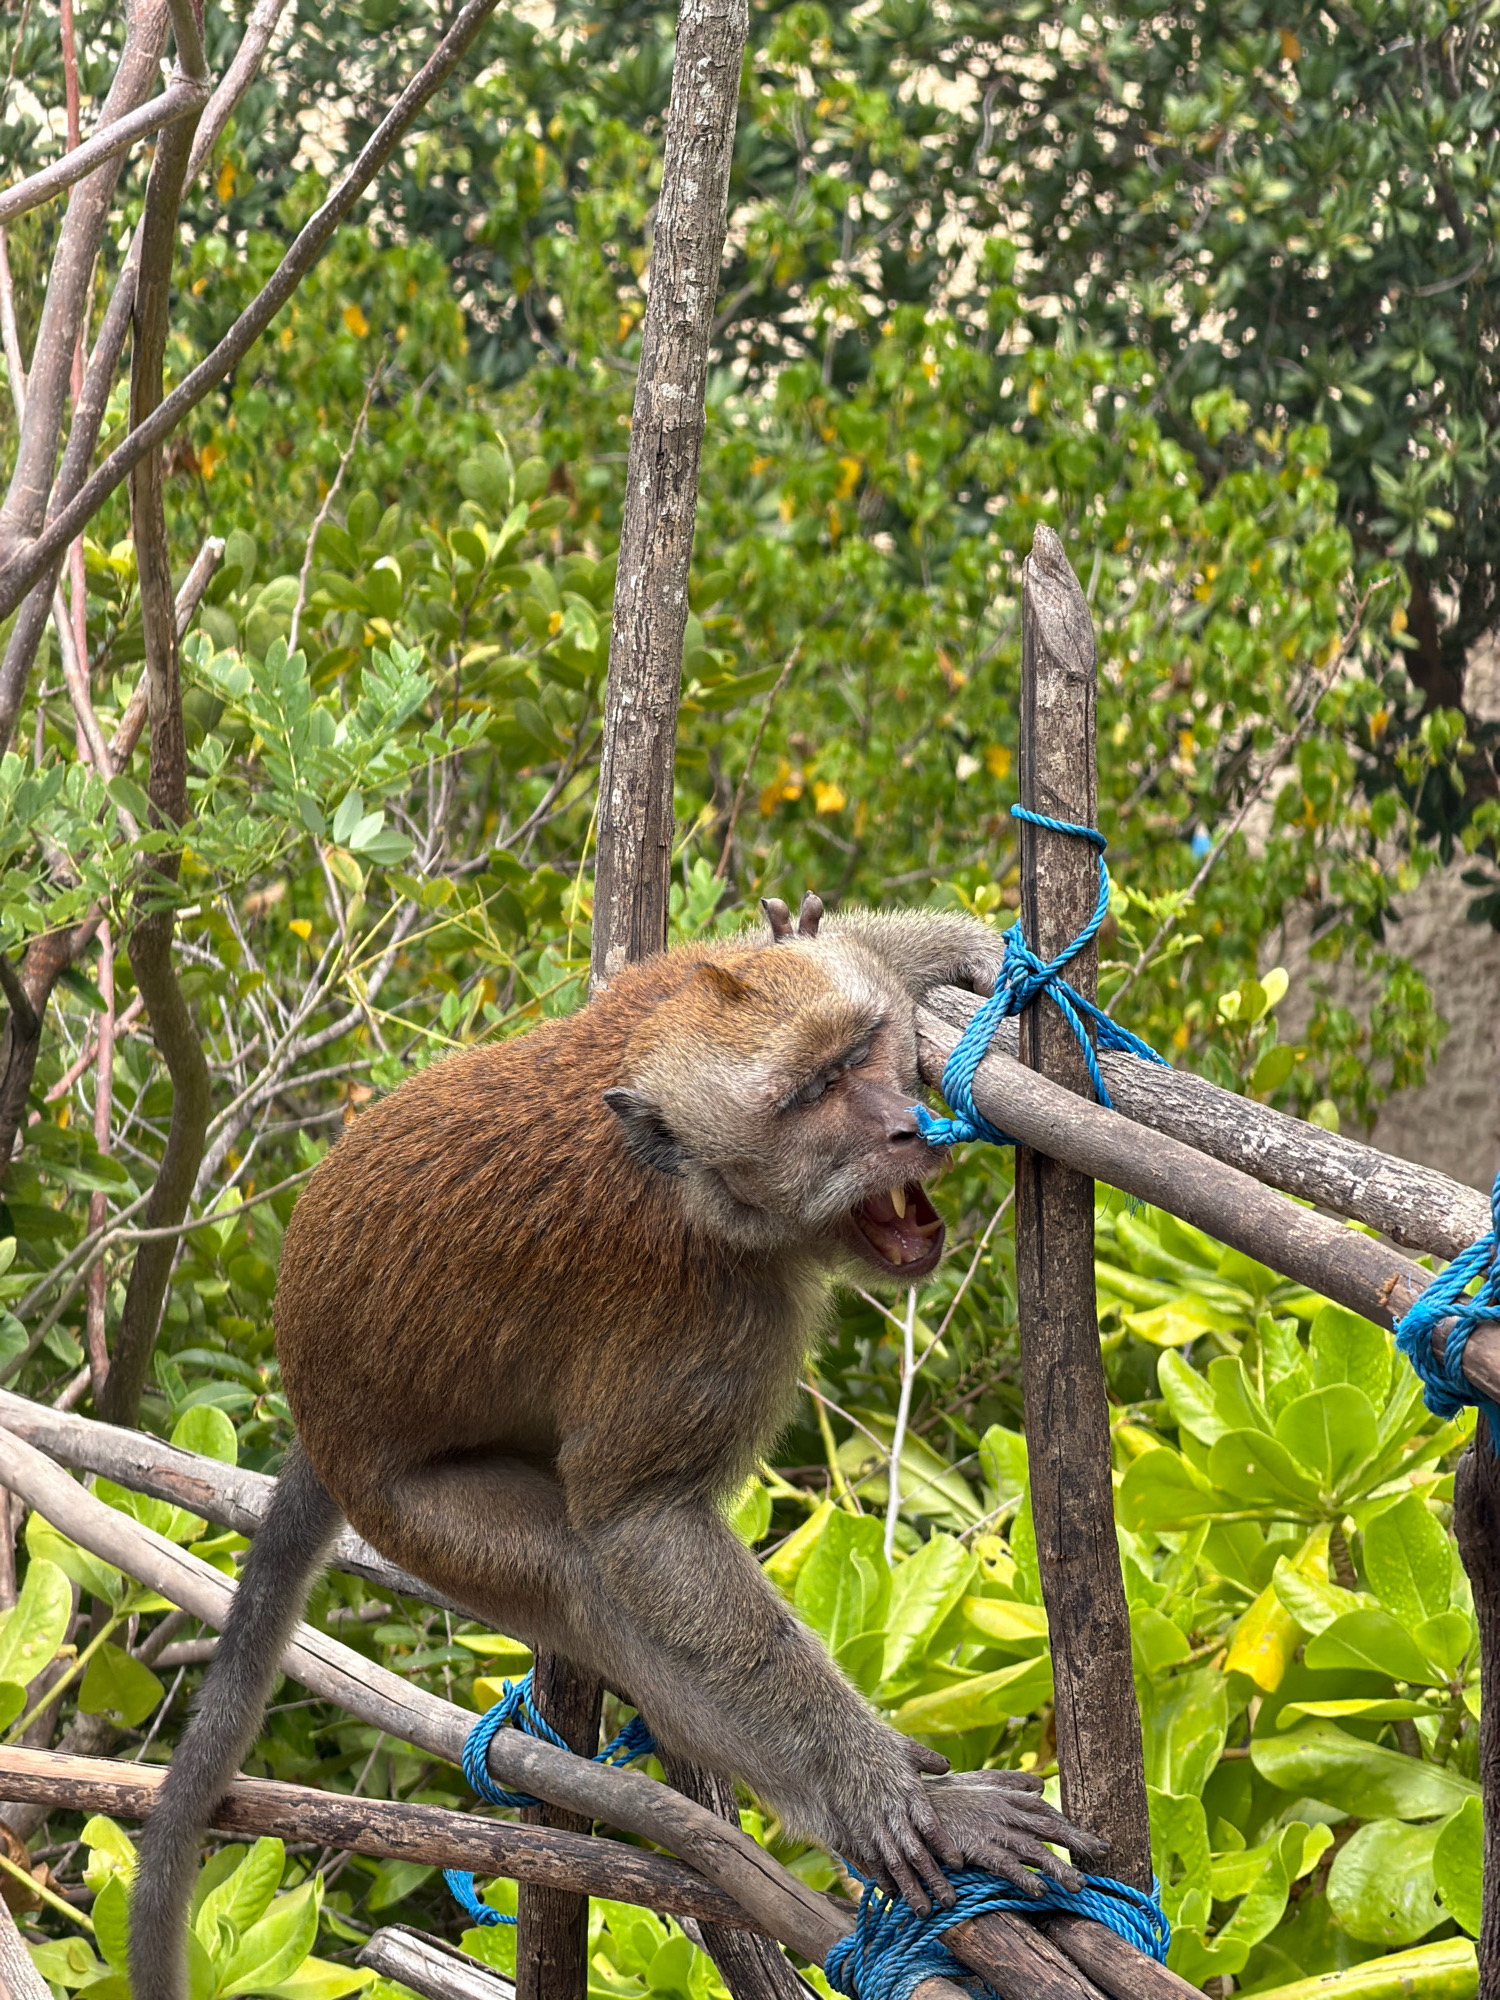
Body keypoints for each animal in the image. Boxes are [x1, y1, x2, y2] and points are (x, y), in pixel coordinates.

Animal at [131, 895, 1108, 2000]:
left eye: (862, 1053)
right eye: (811, 1097)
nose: (905, 1127)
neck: (703, 1190)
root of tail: (313, 1412)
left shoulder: (668, 988)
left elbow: (820, 952)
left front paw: (957, 954)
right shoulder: (696, 1315)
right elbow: (645, 1525)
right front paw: (888, 1795)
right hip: (412, 1509)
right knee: (585, 1575)